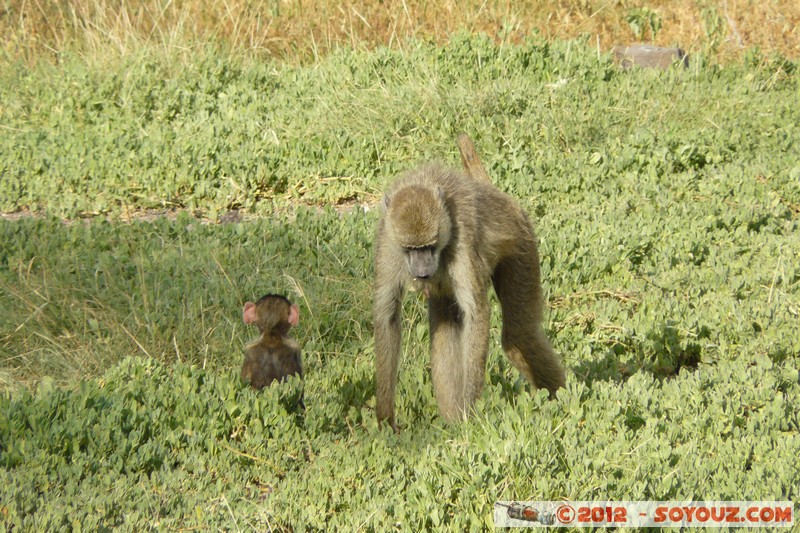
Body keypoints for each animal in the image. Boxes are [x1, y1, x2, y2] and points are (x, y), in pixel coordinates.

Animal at [373, 134, 565, 428]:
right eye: (410, 249)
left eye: (429, 246)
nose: (423, 272)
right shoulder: (388, 239)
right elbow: (387, 315)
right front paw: (385, 420)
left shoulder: (463, 237)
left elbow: (476, 313)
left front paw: (469, 412)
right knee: (444, 331)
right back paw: (451, 423)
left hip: (522, 245)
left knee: (520, 336)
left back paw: (562, 400)